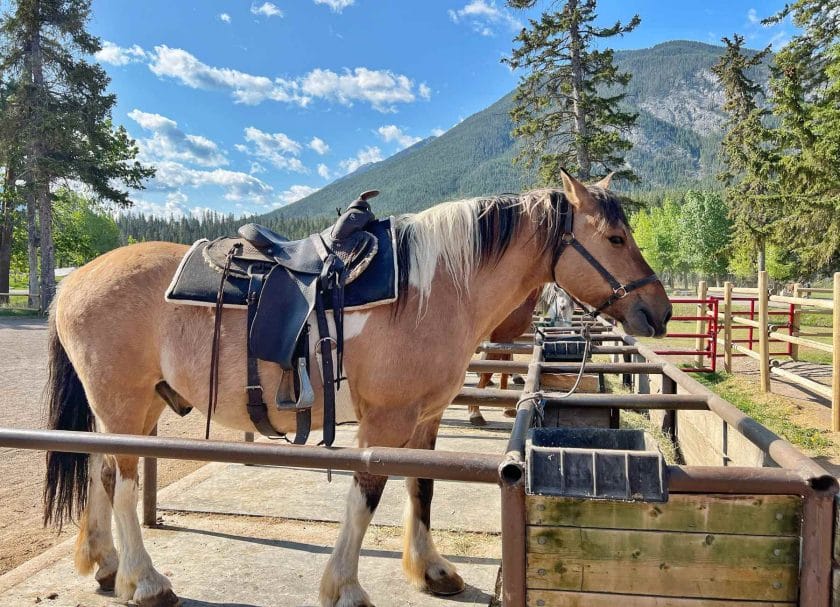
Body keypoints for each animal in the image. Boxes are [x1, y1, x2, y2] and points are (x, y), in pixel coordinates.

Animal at [42, 169, 672, 604]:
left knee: (100, 470)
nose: (659, 312)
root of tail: (73, 281)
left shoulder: (424, 418)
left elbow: (422, 488)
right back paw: (145, 581)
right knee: (124, 483)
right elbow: (367, 494)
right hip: (124, 404)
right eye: (615, 237)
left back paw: (104, 566)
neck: (434, 286)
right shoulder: (387, 419)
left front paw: (432, 569)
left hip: (134, 406)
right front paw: (344, 586)